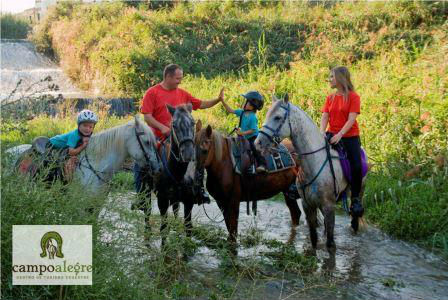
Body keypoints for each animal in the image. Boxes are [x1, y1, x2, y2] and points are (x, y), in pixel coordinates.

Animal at [190, 120, 304, 250]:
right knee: (295, 214)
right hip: (287, 192)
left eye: (205, 150)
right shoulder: (221, 202)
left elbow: (233, 229)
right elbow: (229, 228)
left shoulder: (233, 201)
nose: (196, 176)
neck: (225, 164)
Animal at [256, 95, 368, 250]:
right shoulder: (308, 205)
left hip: (358, 193)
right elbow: (314, 239)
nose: (258, 143)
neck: (314, 162)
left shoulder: (328, 206)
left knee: (354, 220)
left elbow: (330, 244)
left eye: (277, 117)